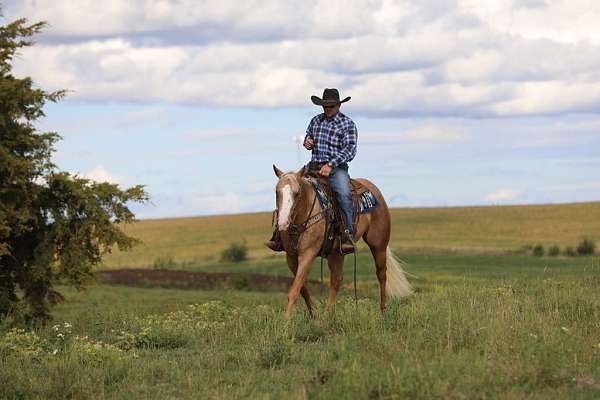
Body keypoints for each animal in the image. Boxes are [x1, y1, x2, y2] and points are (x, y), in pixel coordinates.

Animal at [274, 163, 410, 318]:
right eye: (277, 192)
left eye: (296, 193)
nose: (283, 223)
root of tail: (374, 190)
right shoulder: (291, 257)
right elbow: (302, 287)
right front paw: (313, 314)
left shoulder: (308, 254)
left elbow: (295, 289)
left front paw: (286, 320)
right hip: (336, 252)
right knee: (336, 280)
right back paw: (326, 315)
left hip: (379, 245)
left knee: (381, 274)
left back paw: (383, 310)